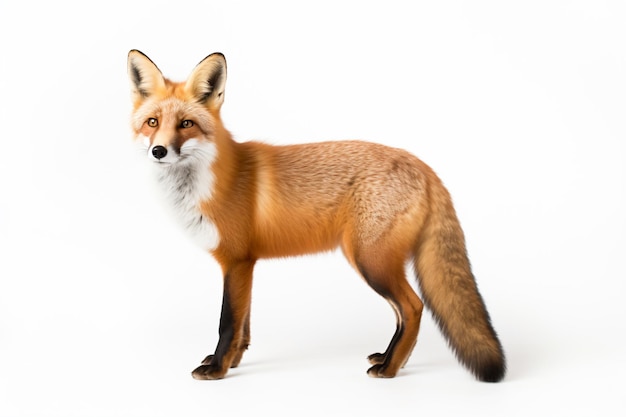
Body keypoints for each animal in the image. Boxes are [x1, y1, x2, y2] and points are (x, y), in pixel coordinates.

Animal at [125, 48, 502, 380]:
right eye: (152, 122)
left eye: (186, 123)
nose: (159, 151)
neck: (209, 182)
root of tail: (423, 165)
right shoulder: (247, 264)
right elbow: (244, 326)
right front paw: (233, 363)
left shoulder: (236, 261)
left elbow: (228, 323)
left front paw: (217, 370)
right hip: (375, 260)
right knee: (403, 313)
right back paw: (390, 358)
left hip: (370, 261)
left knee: (413, 307)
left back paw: (390, 369)